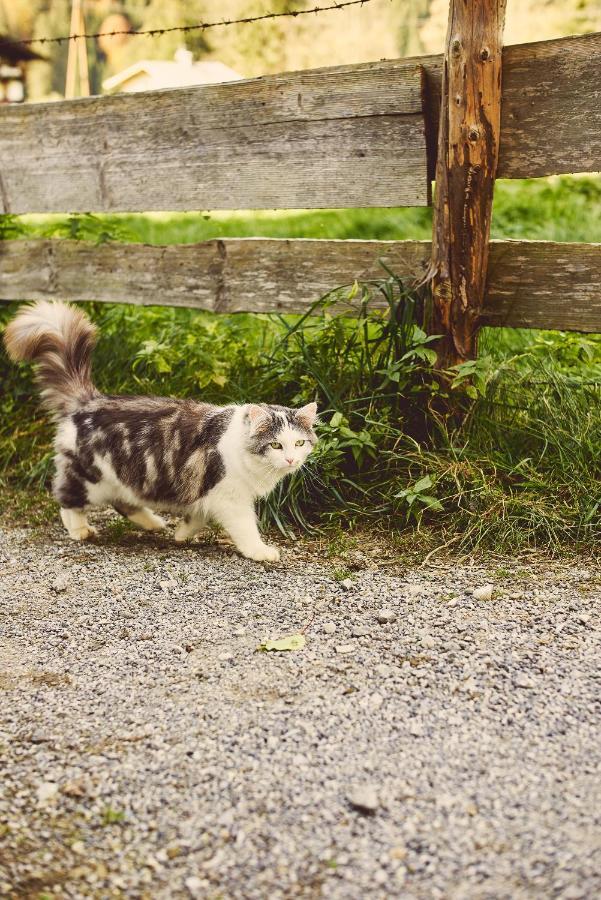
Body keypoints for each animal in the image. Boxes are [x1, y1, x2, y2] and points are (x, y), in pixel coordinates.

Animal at [4, 300, 316, 564]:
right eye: (276, 445)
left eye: (300, 443)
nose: (291, 460)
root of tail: (89, 400)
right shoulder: (231, 497)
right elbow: (245, 528)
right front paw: (260, 551)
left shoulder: (205, 494)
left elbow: (197, 516)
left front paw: (182, 533)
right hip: (90, 475)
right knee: (66, 498)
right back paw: (80, 529)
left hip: (126, 477)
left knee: (123, 502)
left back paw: (154, 523)